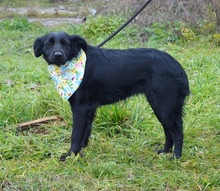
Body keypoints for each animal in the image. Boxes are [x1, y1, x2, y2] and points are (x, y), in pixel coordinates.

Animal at [34, 31, 189, 161]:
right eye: (49, 44)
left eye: (65, 43)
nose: (57, 55)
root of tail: (177, 66)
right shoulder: (89, 109)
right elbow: (85, 133)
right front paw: (81, 152)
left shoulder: (80, 108)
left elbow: (76, 135)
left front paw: (70, 156)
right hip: (161, 107)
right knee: (168, 131)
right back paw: (165, 151)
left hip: (164, 106)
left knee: (177, 133)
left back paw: (176, 157)